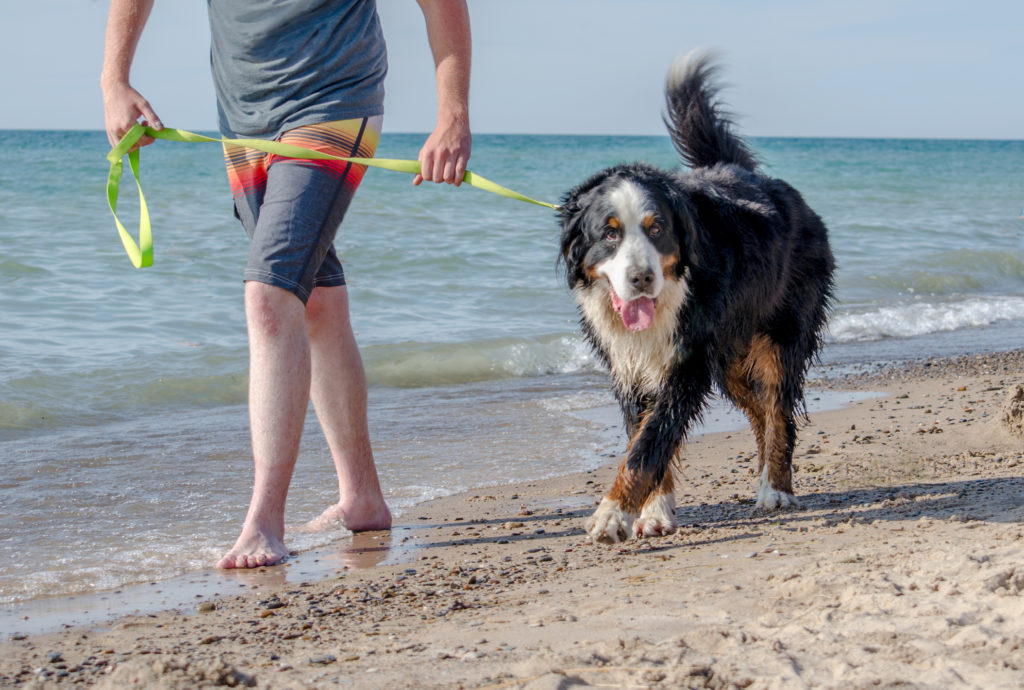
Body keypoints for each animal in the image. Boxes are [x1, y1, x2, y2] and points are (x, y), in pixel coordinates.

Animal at [561, 52, 831, 544]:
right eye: (609, 233)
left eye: (657, 229)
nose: (642, 277)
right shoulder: (632, 365)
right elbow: (646, 436)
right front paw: (655, 511)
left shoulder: (685, 364)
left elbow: (648, 446)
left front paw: (612, 513)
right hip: (730, 358)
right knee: (759, 411)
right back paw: (764, 475)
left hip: (779, 337)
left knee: (778, 410)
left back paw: (776, 489)